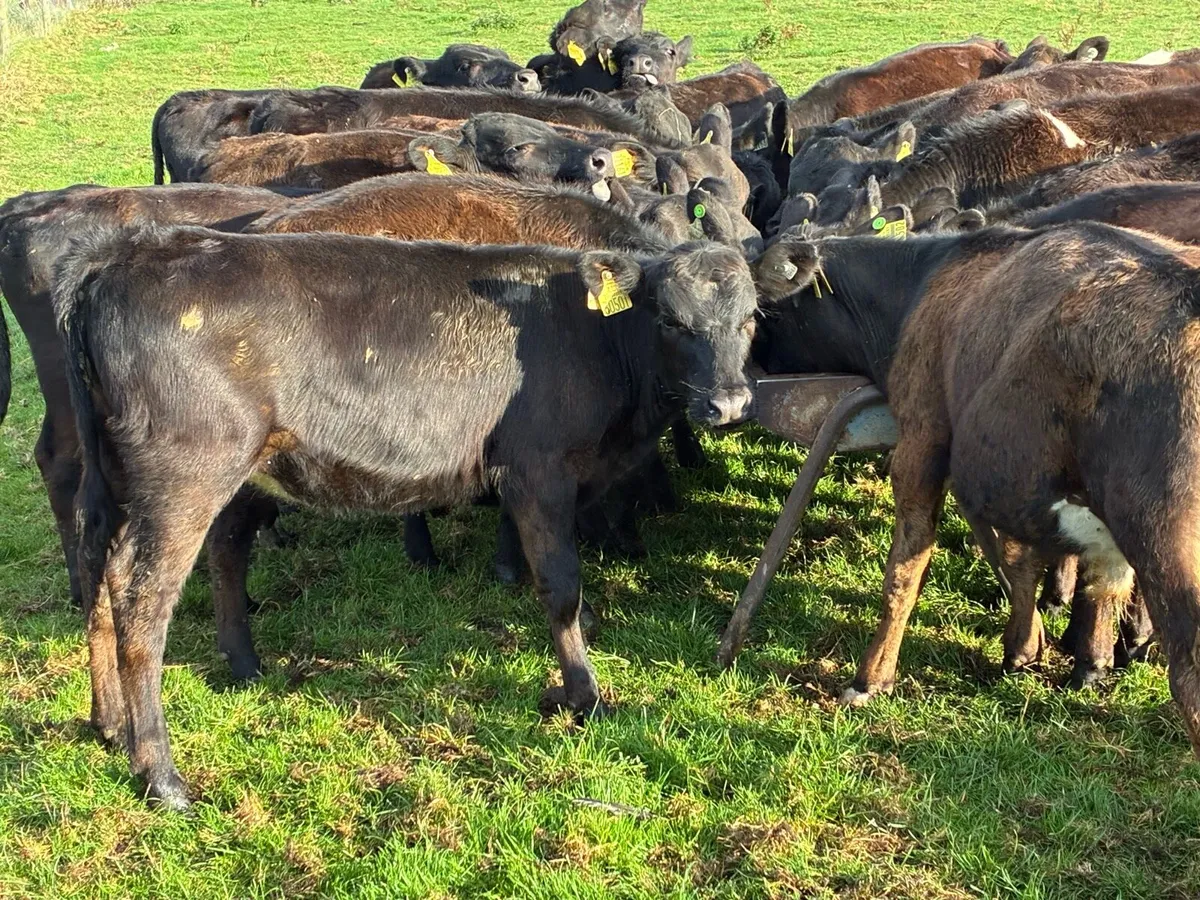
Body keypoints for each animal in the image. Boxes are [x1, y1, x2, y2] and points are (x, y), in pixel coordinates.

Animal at [54, 227, 759, 809]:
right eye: (670, 318)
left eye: (750, 319)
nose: (727, 404)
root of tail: (121, 255)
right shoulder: (539, 470)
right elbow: (561, 586)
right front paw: (583, 696)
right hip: (188, 476)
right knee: (144, 602)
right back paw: (161, 776)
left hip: (122, 478)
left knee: (104, 565)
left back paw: (114, 721)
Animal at [753, 222, 1200, 758]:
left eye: (765, 309)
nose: (749, 367)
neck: (920, 283)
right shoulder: (1018, 479)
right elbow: (1030, 562)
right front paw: (1048, 655)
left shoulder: (921, 441)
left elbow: (905, 571)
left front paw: (871, 678)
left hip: (1166, 543)